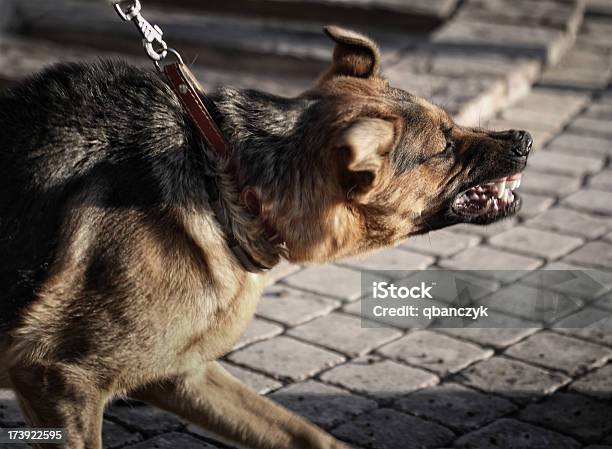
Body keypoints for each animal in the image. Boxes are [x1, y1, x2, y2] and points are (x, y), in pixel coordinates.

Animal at [0, 27, 532, 448]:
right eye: (444, 146)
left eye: (452, 122)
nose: (524, 140)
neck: (225, 182)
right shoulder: (58, 377)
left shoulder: (180, 370)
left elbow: (301, 433)